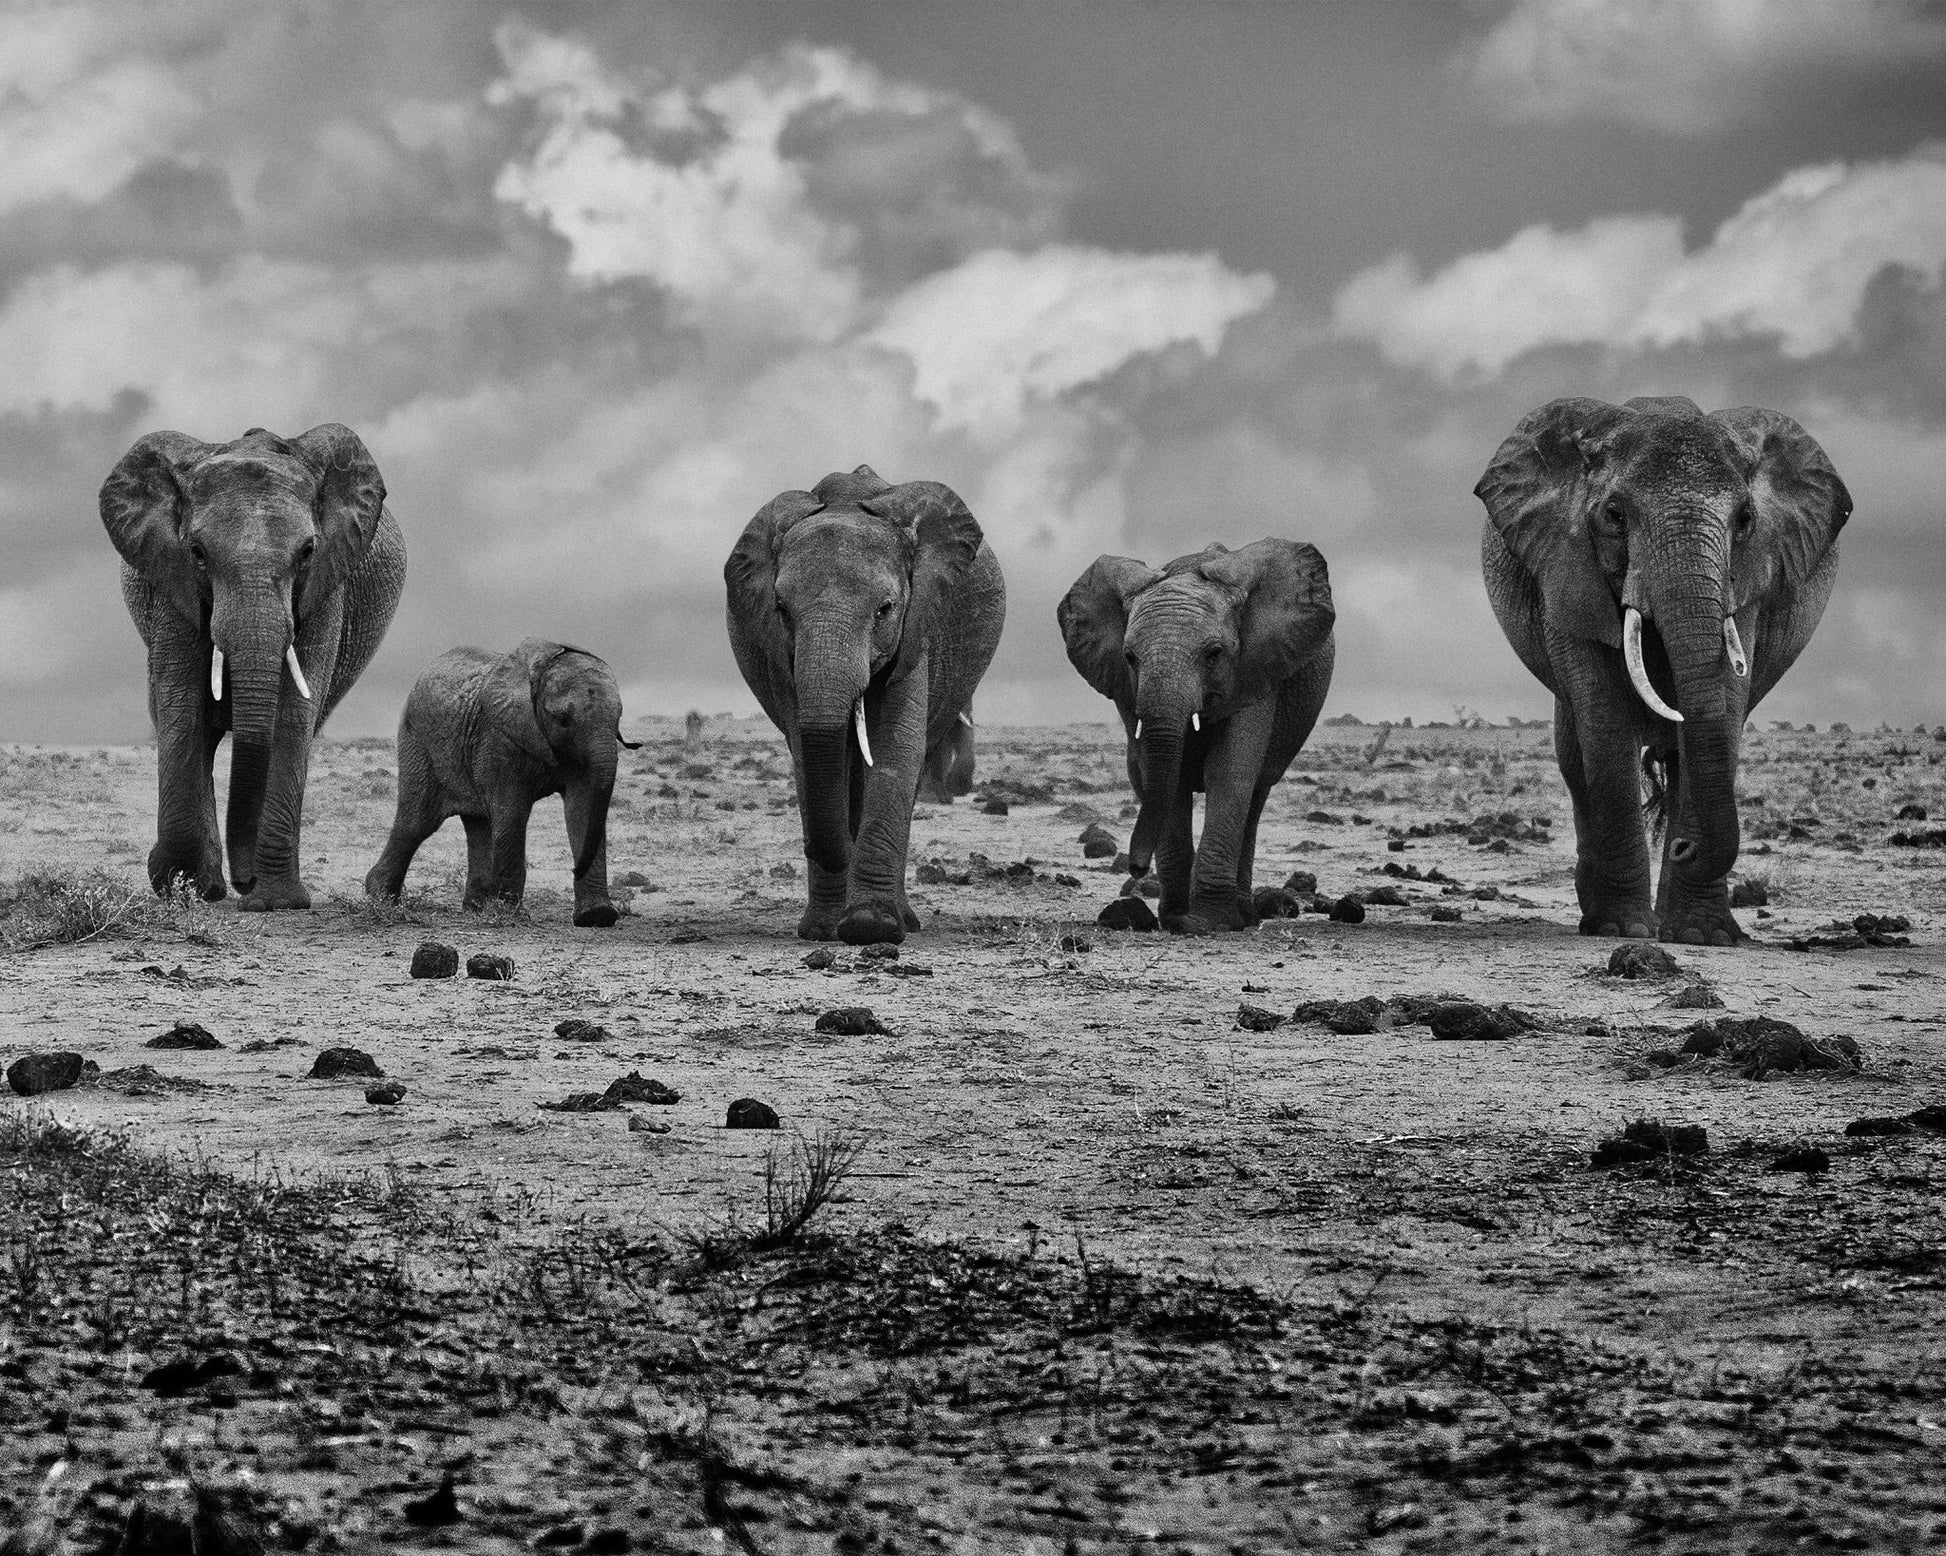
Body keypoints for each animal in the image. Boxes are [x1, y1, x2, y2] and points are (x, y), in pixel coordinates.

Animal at [102, 424, 405, 910]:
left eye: (307, 551)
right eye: (197, 552)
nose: (245, 881)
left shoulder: (326, 585)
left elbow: (293, 714)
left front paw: (276, 902)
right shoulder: (171, 580)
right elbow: (182, 706)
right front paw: (181, 886)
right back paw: (202, 886)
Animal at [363, 639, 641, 926]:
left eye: (619, 717)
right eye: (563, 719)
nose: (573, 868)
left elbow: (583, 808)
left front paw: (597, 917)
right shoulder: (499, 738)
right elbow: (512, 813)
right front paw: (510, 915)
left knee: (477, 823)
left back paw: (476, 909)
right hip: (418, 742)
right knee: (417, 821)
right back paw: (382, 899)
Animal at [726, 465, 1006, 944]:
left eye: (885, 609)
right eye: (781, 610)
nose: (817, 847)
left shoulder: (918, 626)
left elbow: (895, 746)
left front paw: (869, 927)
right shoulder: (778, 652)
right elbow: (809, 753)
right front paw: (823, 931)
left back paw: (904, 920)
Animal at [1058, 538, 1336, 935]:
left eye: (1214, 653)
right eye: (1129, 656)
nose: (1136, 868)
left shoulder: (1255, 671)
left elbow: (1229, 771)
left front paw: (1209, 922)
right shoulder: (1126, 688)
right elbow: (1162, 776)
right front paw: (1176, 919)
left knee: (1254, 797)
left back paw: (1244, 916)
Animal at [1476, 395, 1849, 946]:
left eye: (1745, 519)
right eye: (1614, 515)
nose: (1683, 849)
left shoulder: (1750, 582)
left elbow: (1726, 703)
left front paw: (1704, 937)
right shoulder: (1565, 568)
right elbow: (1604, 719)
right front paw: (1623, 928)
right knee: (1576, 760)